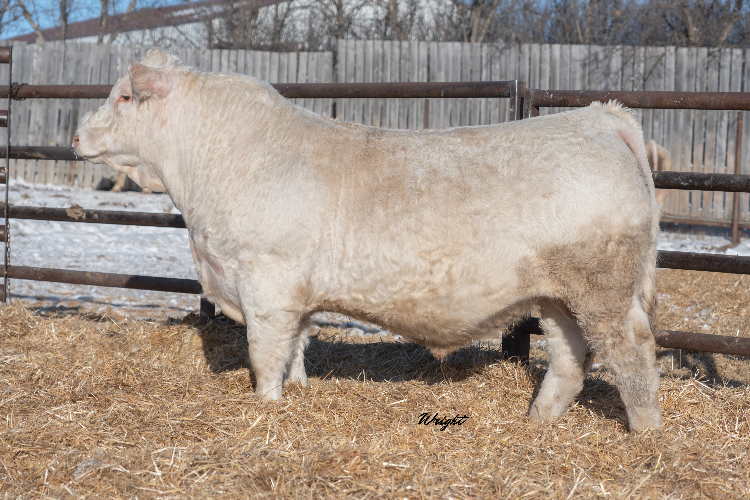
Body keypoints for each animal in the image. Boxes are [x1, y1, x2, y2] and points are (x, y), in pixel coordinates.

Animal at [73, 49, 663, 431]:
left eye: (123, 96)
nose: (76, 136)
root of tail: (599, 119)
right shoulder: (296, 294)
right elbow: (297, 348)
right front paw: (299, 392)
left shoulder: (266, 281)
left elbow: (265, 354)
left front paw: (267, 406)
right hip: (559, 295)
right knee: (571, 356)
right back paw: (537, 420)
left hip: (604, 288)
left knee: (632, 350)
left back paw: (645, 433)